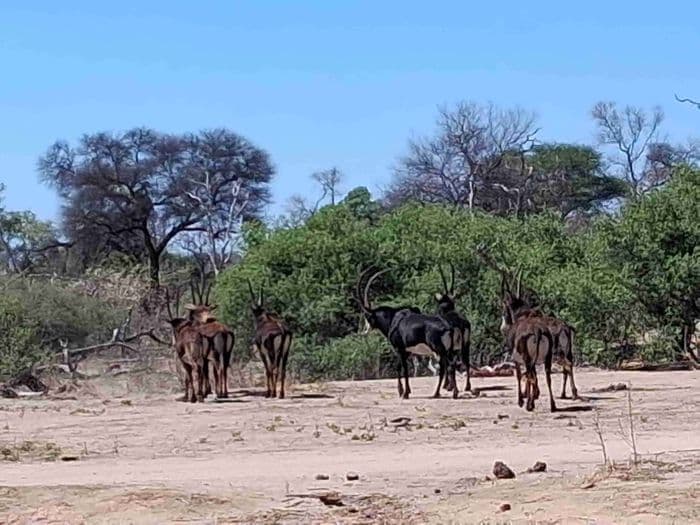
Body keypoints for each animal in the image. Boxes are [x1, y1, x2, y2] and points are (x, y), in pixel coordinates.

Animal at [356, 268, 460, 399]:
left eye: (367, 317)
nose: (364, 331)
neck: (393, 319)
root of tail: (448, 326)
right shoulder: (408, 352)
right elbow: (405, 369)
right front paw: (407, 391)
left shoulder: (399, 349)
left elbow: (401, 368)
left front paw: (403, 392)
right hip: (448, 350)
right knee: (451, 365)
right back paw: (452, 392)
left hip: (439, 350)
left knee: (446, 367)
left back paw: (438, 393)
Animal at [434, 263, 472, 393]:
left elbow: (446, 365)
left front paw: (446, 385)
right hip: (465, 345)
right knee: (466, 362)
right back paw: (467, 386)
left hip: (450, 348)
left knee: (450, 364)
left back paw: (452, 387)